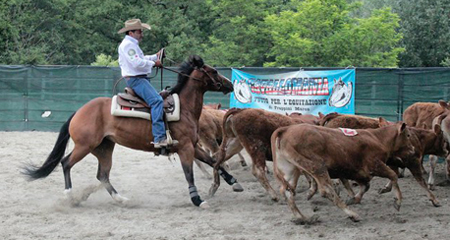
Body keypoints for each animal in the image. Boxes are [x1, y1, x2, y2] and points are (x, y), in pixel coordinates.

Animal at [23, 55, 243, 208]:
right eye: (213, 71)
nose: (230, 84)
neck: (185, 108)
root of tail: (79, 111)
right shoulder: (185, 149)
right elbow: (189, 174)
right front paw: (198, 200)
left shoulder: (192, 146)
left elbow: (213, 161)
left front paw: (234, 183)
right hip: (85, 146)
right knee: (66, 163)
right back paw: (70, 196)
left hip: (104, 148)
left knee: (102, 175)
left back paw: (122, 199)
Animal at [270, 123, 414, 224]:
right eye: (408, 135)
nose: (413, 149)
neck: (378, 138)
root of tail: (285, 129)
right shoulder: (375, 164)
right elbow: (393, 175)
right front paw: (398, 201)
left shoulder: (358, 172)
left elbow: (366, 186)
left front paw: (354, 198)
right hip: (317, 166)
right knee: (326, 191)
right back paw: (352, 215)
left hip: (290, 169)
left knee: (287, 192)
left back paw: (303, 218)